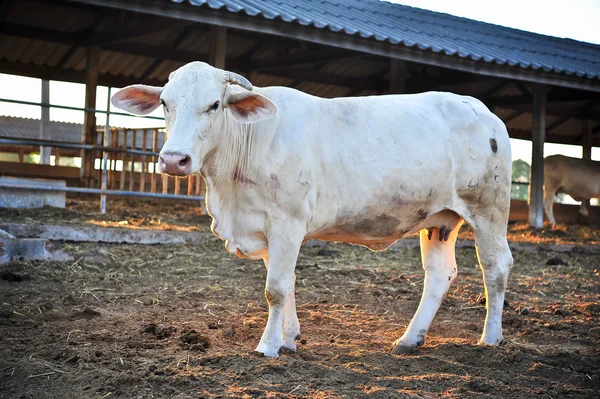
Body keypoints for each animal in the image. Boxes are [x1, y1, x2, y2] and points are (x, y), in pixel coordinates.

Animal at [111, 63, 510, 360]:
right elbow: (285, 282)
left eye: (214, 105)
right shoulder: (265, 228)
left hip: (489, 211)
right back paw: (410, 339)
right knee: (440, 274)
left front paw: (267, 346)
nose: (173, 159)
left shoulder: (287, 223)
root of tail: (482, 110)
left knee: (496, 268)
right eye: (165, 102)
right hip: (440, 220)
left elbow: (275, 288)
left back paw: (490, 339)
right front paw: (288, 339)